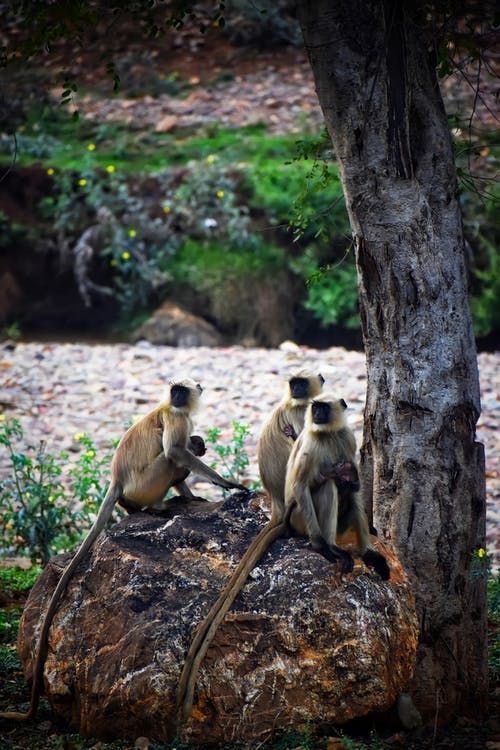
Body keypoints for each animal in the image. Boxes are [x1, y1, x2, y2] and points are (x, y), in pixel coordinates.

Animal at [0, 378, 246, 724]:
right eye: (175, 391)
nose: (176, 397)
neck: (171, 407)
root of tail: (117, 479)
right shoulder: (176, 418)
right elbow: (176, 450)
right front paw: (225, 484)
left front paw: (196, 495)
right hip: (149, 481)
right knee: (175, 456)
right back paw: (152, 506)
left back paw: (139, 507)